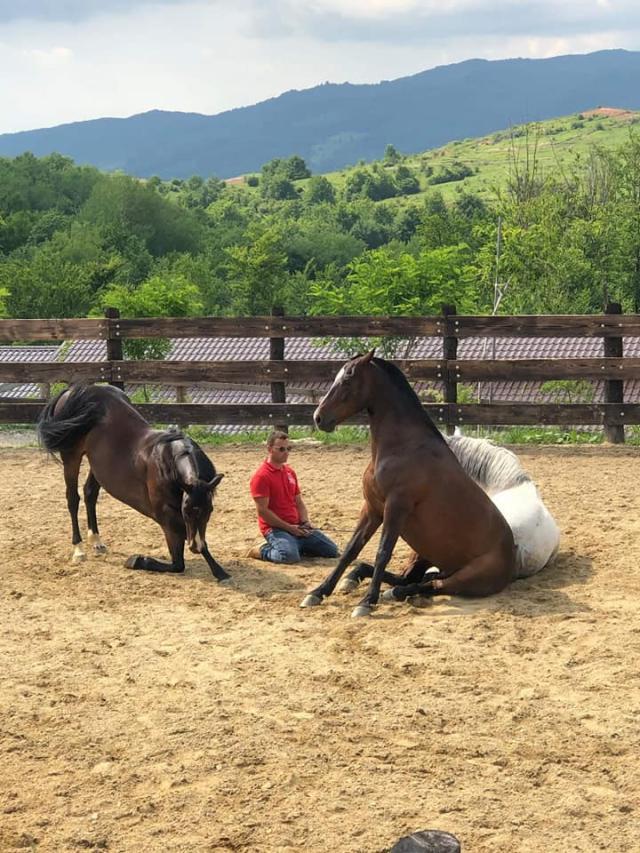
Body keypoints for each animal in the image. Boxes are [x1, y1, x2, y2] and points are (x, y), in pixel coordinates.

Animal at [37, 384, 230, 580]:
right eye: (187, 511)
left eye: (209, 510)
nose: (195, 548)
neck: (166, 460)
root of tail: (75, 391)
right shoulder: (166, 517)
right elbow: (178, 563)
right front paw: (137, 560)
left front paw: (219, 570)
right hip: (71, 457)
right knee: (72, 499)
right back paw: (78, 549)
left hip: (97, 465)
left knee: (90, 493)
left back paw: (96, 541)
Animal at [302, 350, 516, 616]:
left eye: (348, 380)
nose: (319, 418)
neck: (401, 448)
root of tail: (512, 557)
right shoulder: (372, 508)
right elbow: (351, 550)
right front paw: (318, 592)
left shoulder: (396, 507)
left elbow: (383, 552)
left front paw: (366, 602)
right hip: (424, 554)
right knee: (413, 578)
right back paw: (369, 583)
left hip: (465, 577)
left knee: (432, 585)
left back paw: (395, 593)